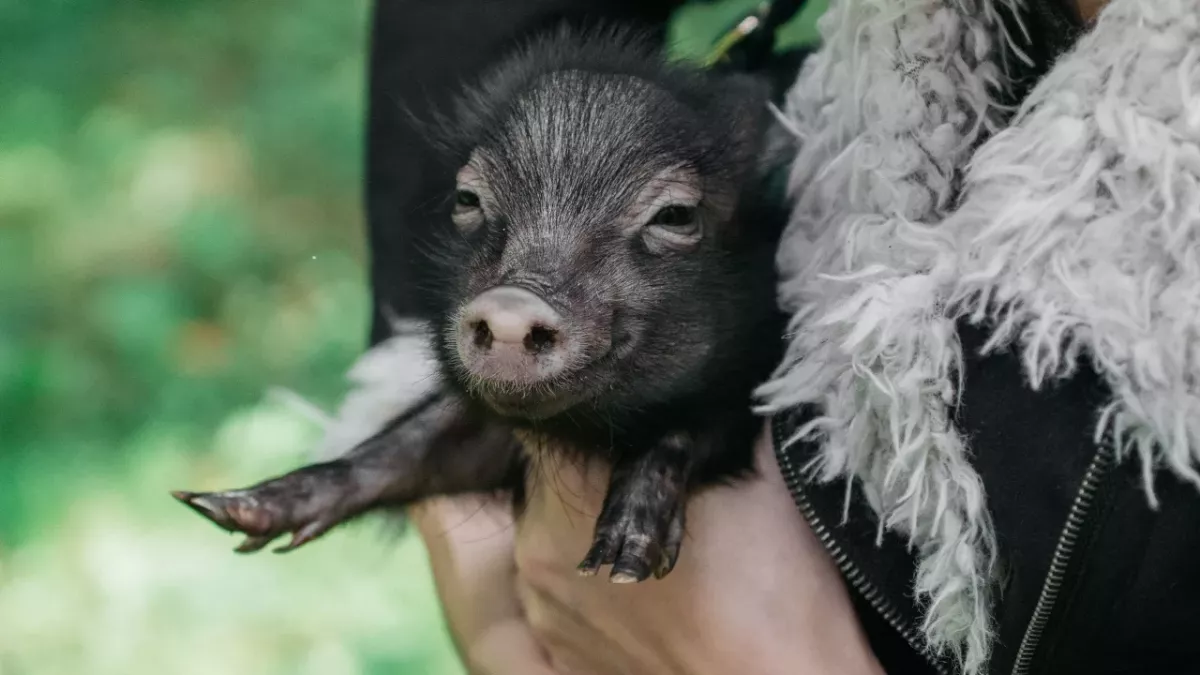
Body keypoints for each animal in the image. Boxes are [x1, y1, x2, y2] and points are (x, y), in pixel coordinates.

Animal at [173, 23, 788, 583]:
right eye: (468, 199)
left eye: (676, 215)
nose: (513, 301)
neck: (587, 429)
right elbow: (408, 446)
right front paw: (219, 505)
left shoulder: (753, 383)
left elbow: (685, 431)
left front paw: (621, 561)